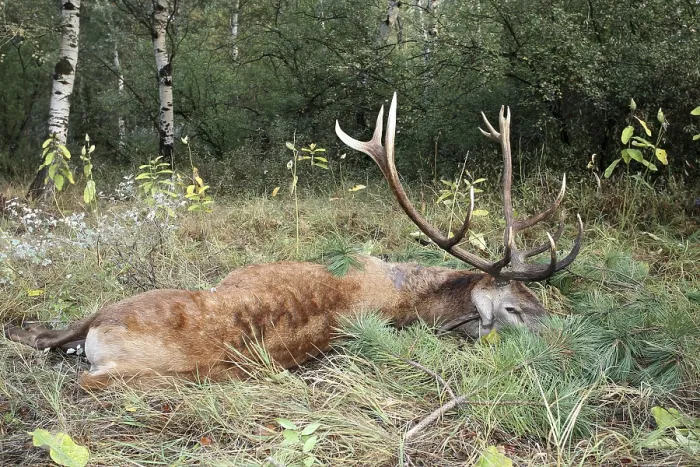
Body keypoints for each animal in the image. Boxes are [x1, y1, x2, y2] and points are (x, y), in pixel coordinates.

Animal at [4, 93, 583, 390]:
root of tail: (103, 330)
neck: (403, 289)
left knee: (61, 353)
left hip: (121, 321)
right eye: (517, 307)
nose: (569, 343)